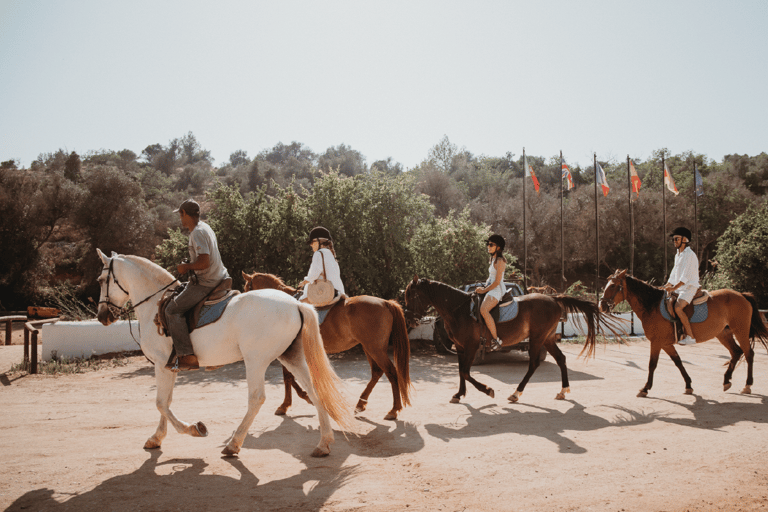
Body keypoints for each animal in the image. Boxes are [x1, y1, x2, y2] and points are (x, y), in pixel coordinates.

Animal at [94, 248, 354, 456]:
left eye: (101, 279)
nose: (102, 316)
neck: (156, 304)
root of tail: (296, 304)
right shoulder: (169, 366)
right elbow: (166, 401)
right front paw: (156, 438)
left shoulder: (160, 364)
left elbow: (160, 403)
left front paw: (194, 429)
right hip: (291, 357)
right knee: (314, 390)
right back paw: (323, 443)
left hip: (256, 360)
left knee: (256, 398)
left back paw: (233, 444)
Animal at [244, 272, 414, 420]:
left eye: (247, 289)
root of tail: (386, 302)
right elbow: (290, 378)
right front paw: (302, 399)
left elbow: (288, 377)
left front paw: (287, 404)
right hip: (369, 348)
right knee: (377, 372)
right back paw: (360, 404)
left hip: (375, 349)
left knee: (391, 372)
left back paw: (394, 409)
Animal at [402, 276, 624, 404]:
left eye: (412, 295)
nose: (409, 319)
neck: (460, 310)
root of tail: (553, 299)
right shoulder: (460, 346)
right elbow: (460, 371)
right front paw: (459, 394)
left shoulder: (472, 346)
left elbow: (465, 371)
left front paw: (488, 390)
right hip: (547, 338)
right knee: (561, 359)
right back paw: (562, 391)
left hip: (537, 339)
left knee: (533, 364)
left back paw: (516, 393)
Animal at [600, 270, 768, 398]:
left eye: (613, 285)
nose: (602, 305)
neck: (652, 305)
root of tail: (742, 295)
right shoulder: (666, 343)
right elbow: (678, 362)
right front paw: (688, 385)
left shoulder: (656, 342)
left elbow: (652, 365)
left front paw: (645, 388)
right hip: (723, 334)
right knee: (736, 352)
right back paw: (726, 381)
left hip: (740, 331)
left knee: (749, 353)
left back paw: (747, 385)